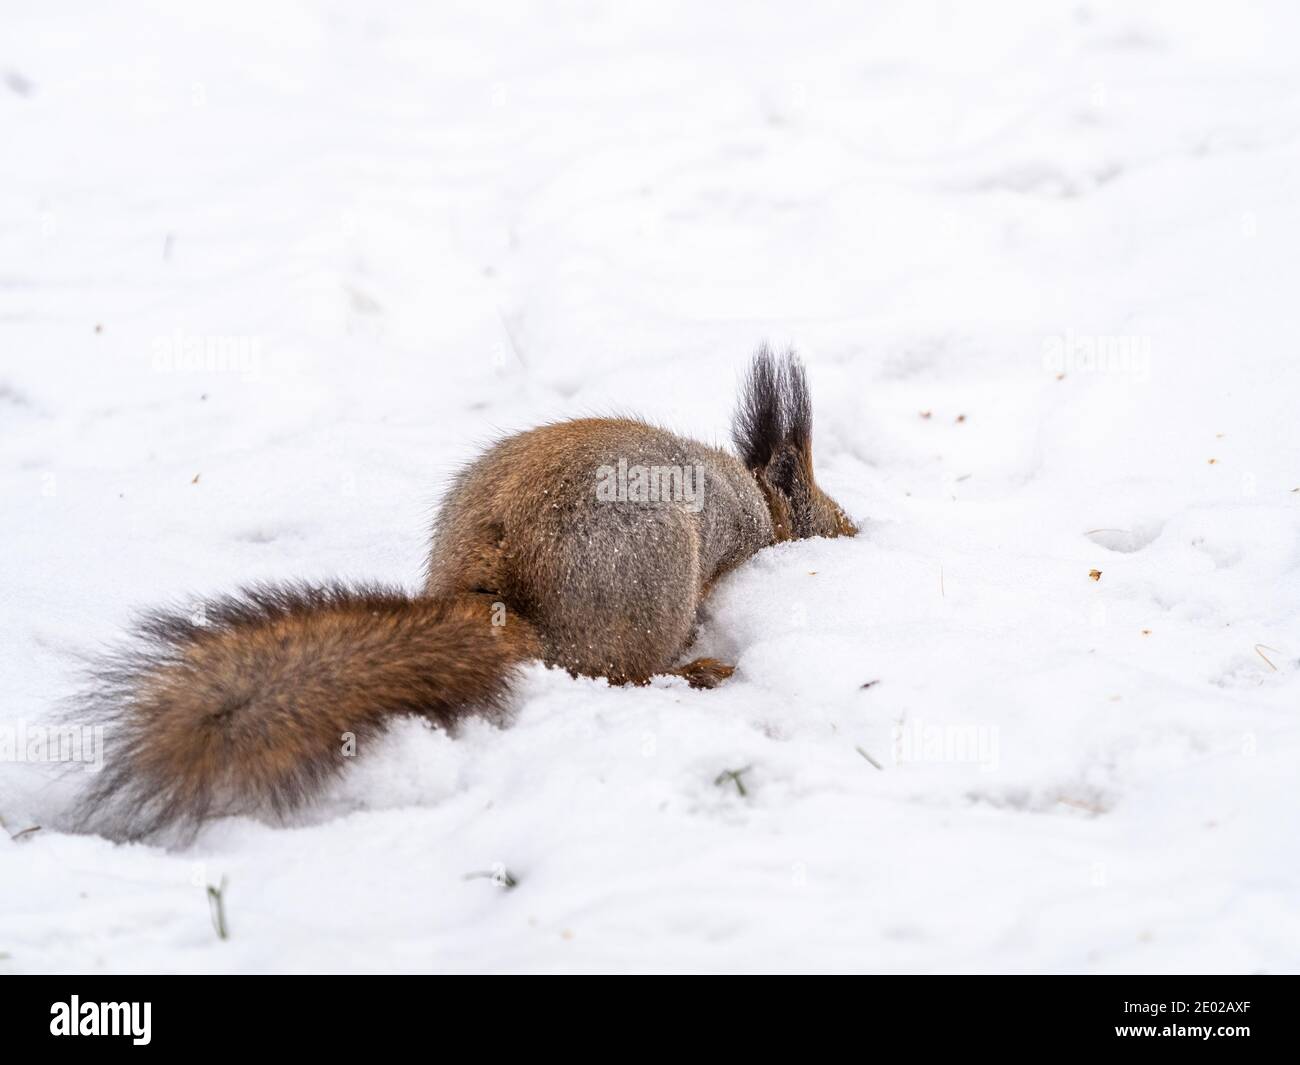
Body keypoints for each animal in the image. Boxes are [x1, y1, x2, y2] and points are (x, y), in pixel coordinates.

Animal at [74, 346, 857, 840]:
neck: (757, 500)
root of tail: (498, 587)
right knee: (615, 671)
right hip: (651, 577)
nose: (862, 535)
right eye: (835, 522)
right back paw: (693, 670)